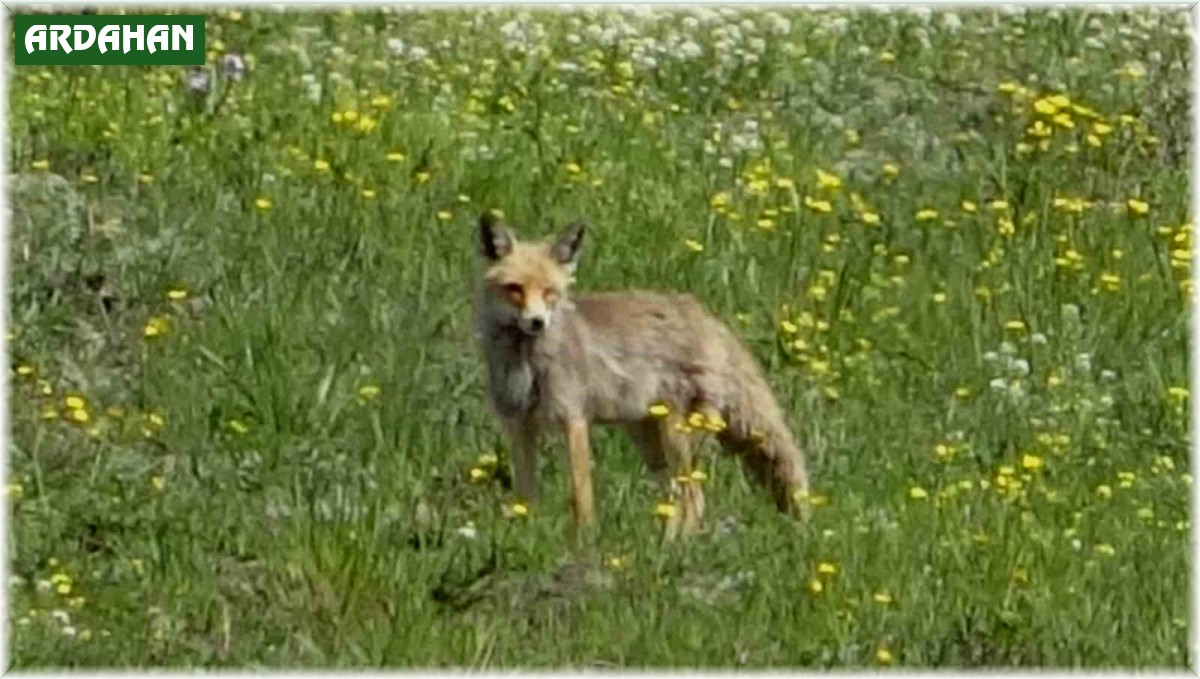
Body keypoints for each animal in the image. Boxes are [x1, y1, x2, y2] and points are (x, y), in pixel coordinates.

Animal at [472, 209, 811, 539]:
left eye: (550, 292)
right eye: (515, 289)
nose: (537, 322)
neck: (525, 362)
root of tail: (711, 320)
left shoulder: (574, 418)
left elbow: (581, 498)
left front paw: (585, 542)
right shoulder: (519, 425)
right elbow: (525, 496)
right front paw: (523, 534)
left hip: (677, 435)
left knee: (692, 497)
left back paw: (674, 547)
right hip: (649, 440)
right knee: (675, 496)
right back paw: (661, 543)